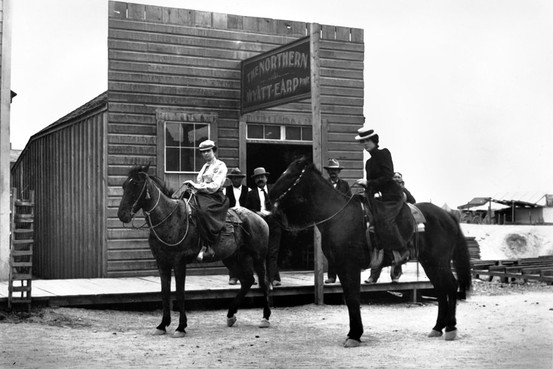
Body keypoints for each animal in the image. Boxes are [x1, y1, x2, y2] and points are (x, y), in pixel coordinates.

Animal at [117, 165, 270, 334]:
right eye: (124, 185)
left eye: (136, 184)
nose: (122, 215)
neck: (170, 219)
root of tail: (258, 217)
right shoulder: (162, 262)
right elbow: (165, 292)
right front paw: (163, 325)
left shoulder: (179, 262)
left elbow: (179, 292)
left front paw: (181, 327)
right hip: (233, 258)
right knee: (247, 281)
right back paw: (231, 315)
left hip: (258, 257)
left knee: (263, 283)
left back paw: (265, 318)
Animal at [270, 157, 468, 344]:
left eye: (289, 174)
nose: (270, 195)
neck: (340, 217)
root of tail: (447, 215)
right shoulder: (341, 267)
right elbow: (350, 298)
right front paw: (354, 333)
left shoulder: (350, 266)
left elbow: (353, 299)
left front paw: (354, 335)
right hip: (430, 263)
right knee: (441, 290)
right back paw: (437, 328)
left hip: (439, 262)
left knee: (451, 286)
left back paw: (451, 328)